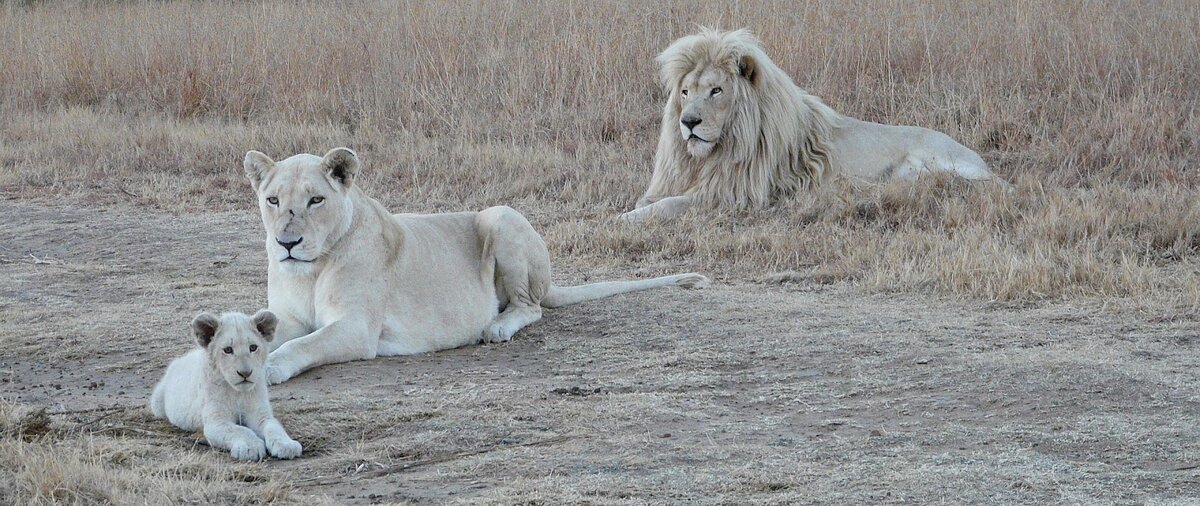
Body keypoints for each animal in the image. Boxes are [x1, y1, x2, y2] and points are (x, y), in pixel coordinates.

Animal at [149, 309, 302, 460]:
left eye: (253, 347)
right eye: (228, 350)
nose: (245, 373)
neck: (238, 393)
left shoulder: (260, 414)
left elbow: (274, 427)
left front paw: (287, 445)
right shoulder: (216, 421)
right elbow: (239, 430)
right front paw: (250, 448)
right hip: (157, 404)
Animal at [247, 148, 705, 386]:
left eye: (315, 200)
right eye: (273, 200)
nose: (287, 244)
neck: (310, 270)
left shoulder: (357, 328)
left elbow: (303, 345)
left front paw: (269, 367)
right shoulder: (288, 318)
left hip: (500, 216)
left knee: (530, 307)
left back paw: (497, 327)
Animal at [619, 28, 1003, 223]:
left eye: (716, 90)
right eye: (685, 92)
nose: (688, 122)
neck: (715, 152)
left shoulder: (734, 195)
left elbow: (670, 205)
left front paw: (624, 219)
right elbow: (650, 199)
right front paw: (636, 207)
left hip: (945, 160)